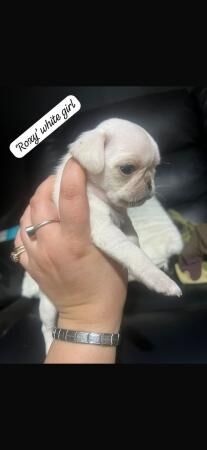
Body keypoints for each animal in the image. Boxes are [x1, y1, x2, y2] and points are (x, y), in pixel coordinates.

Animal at [21, 118, 182, 354]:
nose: (149, 182)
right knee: (46, 326)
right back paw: (50, 344)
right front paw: (160, 278)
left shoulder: (123, 221)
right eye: (127, 169)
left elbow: (133, 238)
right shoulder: (104, 229)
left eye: (155, 168)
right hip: (48, 306)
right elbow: (134, 253)